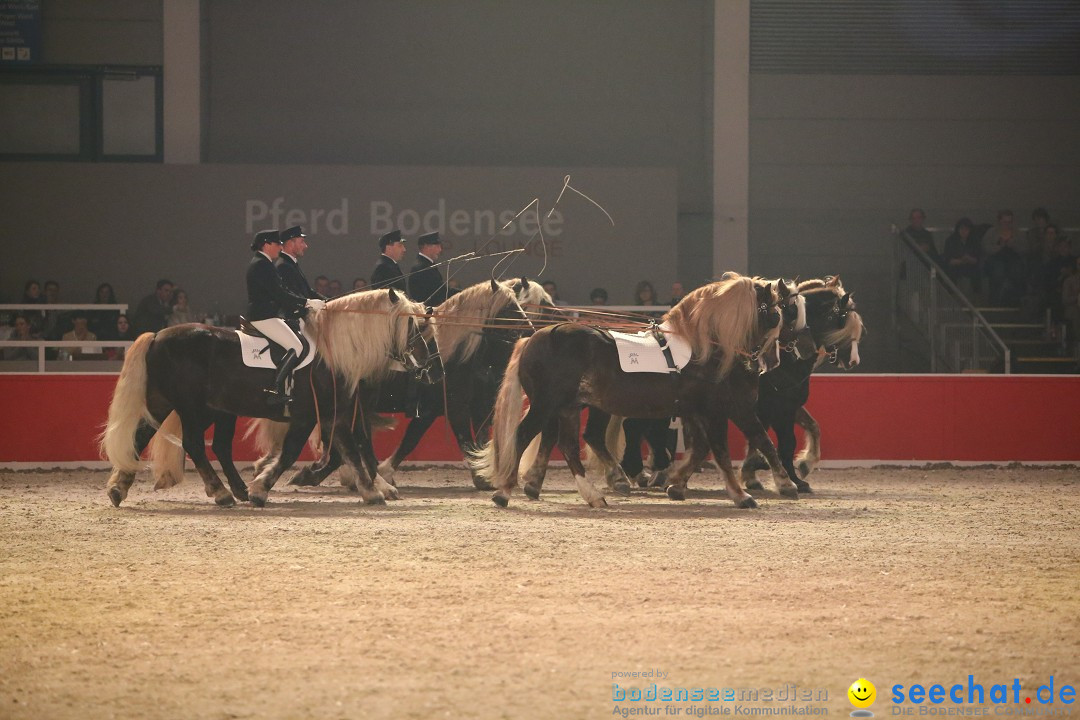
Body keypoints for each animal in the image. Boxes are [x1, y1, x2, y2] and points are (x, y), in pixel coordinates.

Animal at [98, 287, 434, 507]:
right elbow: (302, 452)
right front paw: (262, 488)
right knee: (194, 444)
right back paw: (222, 493)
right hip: (191, 408)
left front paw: (371, 489)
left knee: (145, 435)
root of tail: (157, 335)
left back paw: (119, 488)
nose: (427, 366)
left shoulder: (331, 413)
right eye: (414, 327)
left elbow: (347, 448)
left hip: (174, 404)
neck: (337, 351)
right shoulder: (316, 414)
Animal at [468, 273, 799, 509]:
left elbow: (705, 449)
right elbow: (739, 447)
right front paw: (758, 491)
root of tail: (535, 338)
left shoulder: (698, 412)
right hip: (546, 404)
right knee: (526, 435)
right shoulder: (726, 410)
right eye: (780, 312)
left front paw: (676, 484)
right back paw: (504, 492)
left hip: (569, 407)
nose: (773, 361)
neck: (708, 350)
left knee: (569, 445)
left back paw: (594, 495)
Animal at [738, 278, 864, 496]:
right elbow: (785, 443)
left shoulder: (789, 406)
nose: (853, 360)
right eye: (843, 322)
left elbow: (812, 426)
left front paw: (802, 466)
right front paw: (790, 478)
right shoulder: (779, 409)